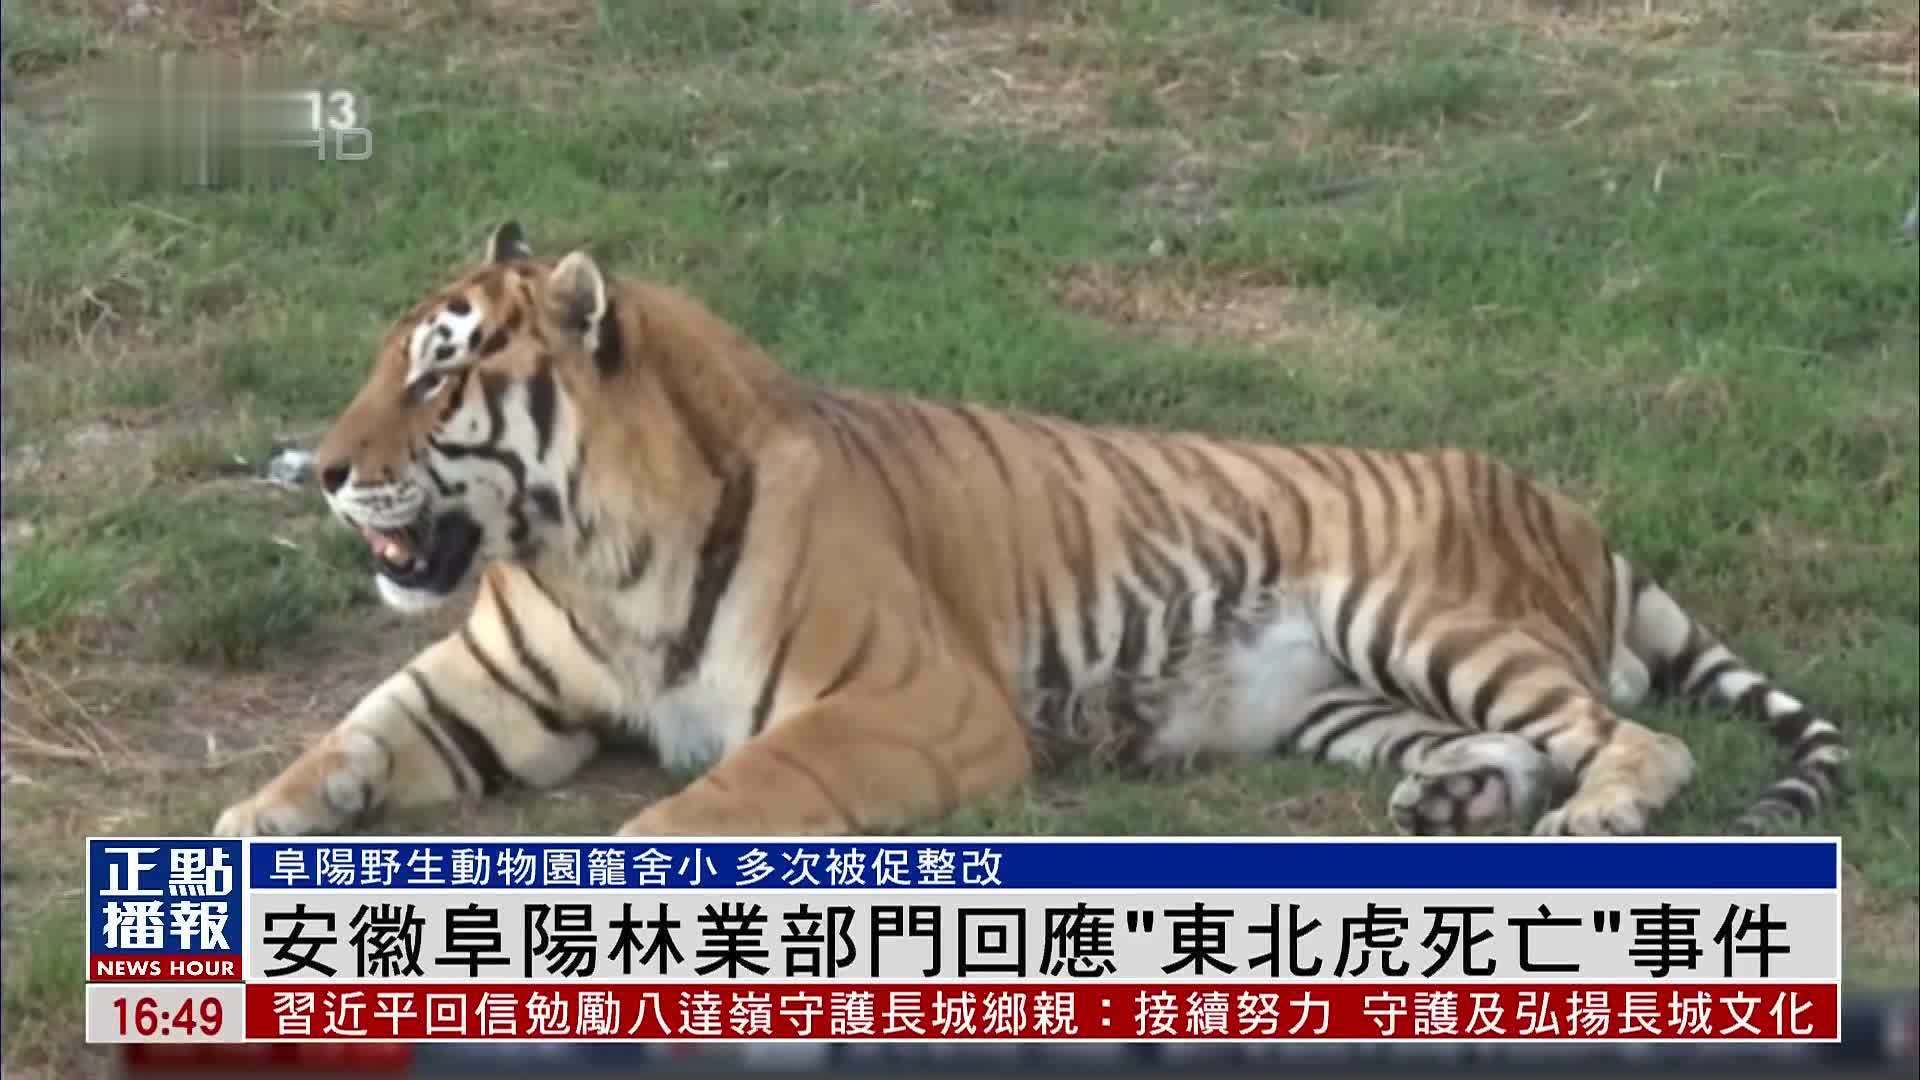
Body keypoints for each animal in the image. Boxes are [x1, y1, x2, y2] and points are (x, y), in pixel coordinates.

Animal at [210, 220, 1848, 840]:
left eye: (440, 371)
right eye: (388, 361)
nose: (326, 471)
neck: (580, 557)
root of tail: (1565, 505)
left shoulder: (914, 702)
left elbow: (738, 788)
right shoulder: (481, 690)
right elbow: (348, 734)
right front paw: (256, 827)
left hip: (1419, 618)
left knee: (1635, 733)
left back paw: (1590, 815)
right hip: (1343, 702)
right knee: (1520, 736)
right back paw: (1461, 799)